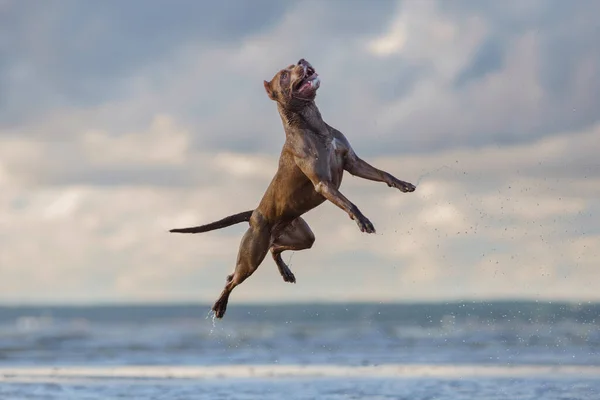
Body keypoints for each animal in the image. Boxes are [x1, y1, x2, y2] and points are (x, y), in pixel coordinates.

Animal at [168, 58, 412, 318]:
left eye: (294, 64)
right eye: (284, 75)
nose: (303, 60)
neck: (312, 124)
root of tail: (253, 214)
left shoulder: (352, 162)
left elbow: (382, 173)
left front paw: (403, 184)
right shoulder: (323, 183)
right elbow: (349, 202)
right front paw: (363, 220)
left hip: (302, 236)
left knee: (275, 249)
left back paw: (285, 272)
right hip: (251, 254)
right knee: (233, 278)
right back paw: (220, 304)